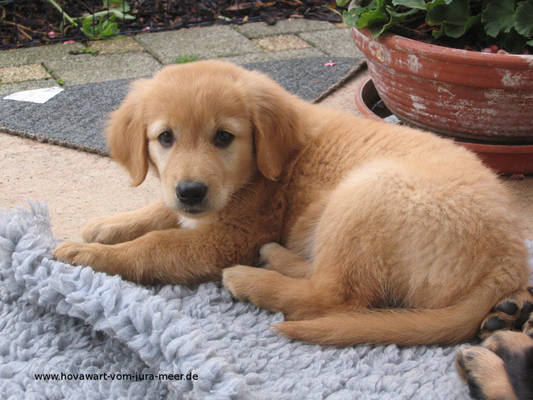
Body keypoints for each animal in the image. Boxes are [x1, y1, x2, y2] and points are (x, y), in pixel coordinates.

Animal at [54, 60, 532, 348]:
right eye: (165, 137)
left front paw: (90, 255)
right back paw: (276, 257)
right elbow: (160, 211)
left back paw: (252, 278)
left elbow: (156, 245)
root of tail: (508, 259)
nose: (191, 190)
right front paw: (109, 226)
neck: (264, 168)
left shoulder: (231, 237)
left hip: (365, 193)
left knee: (334, 296)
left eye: (224, 137)